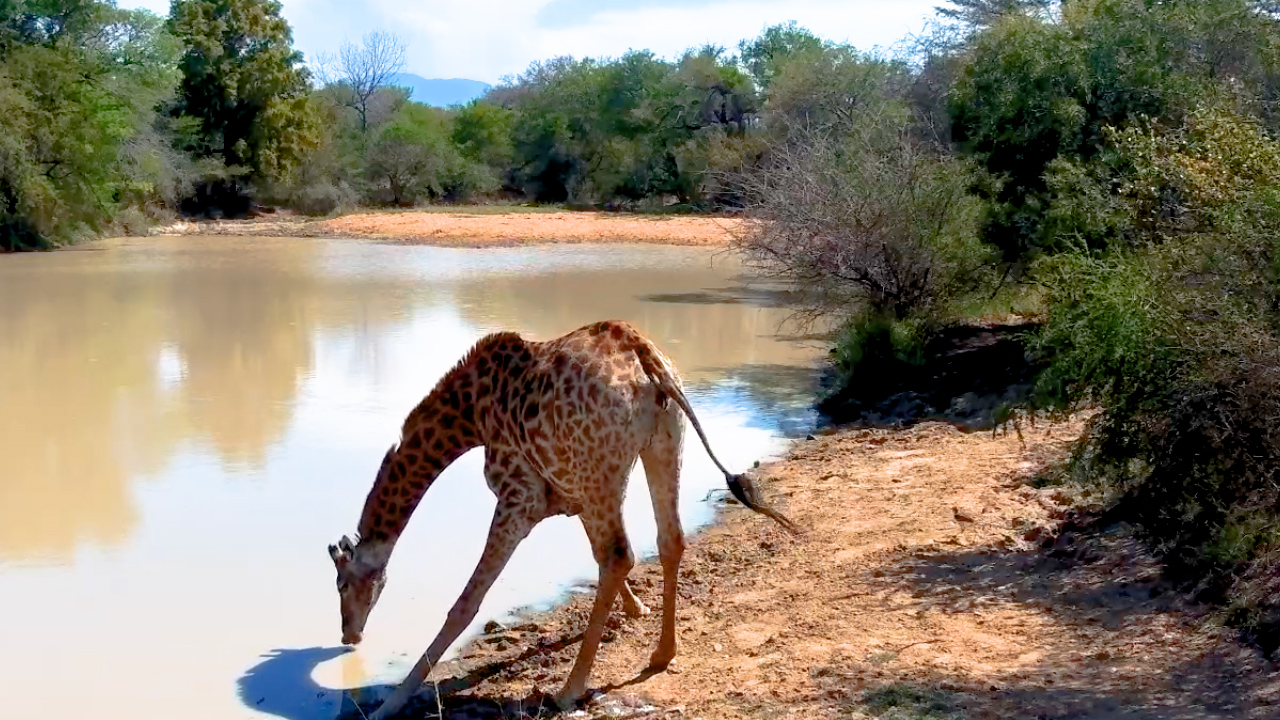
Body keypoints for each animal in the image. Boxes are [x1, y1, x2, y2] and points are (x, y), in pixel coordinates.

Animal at [327, 319, 801, 720]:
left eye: (342, 584)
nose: (349, 636)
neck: (471, 413)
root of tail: (646, 358)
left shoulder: (518, 497)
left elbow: (467, 601)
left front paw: (391, 703)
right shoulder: (569, 491)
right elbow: (593, 552)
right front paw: (636, 608)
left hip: (607, 468)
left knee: (620, 554)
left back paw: (570, 690)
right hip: (659, 446)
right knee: (668, 540)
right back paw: (662, 655)